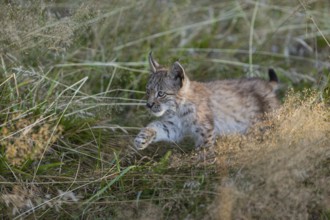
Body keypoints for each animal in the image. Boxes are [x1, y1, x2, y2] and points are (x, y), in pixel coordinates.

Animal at [134, 52, 278, 150]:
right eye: (147, 91)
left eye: (161, 93)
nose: (148, 105)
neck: (177, 108)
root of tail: (265, 83)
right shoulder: (175, 126)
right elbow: (157, 125)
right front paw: (142, 137)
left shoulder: (205, 128)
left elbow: (204, 150)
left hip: (267, 121)